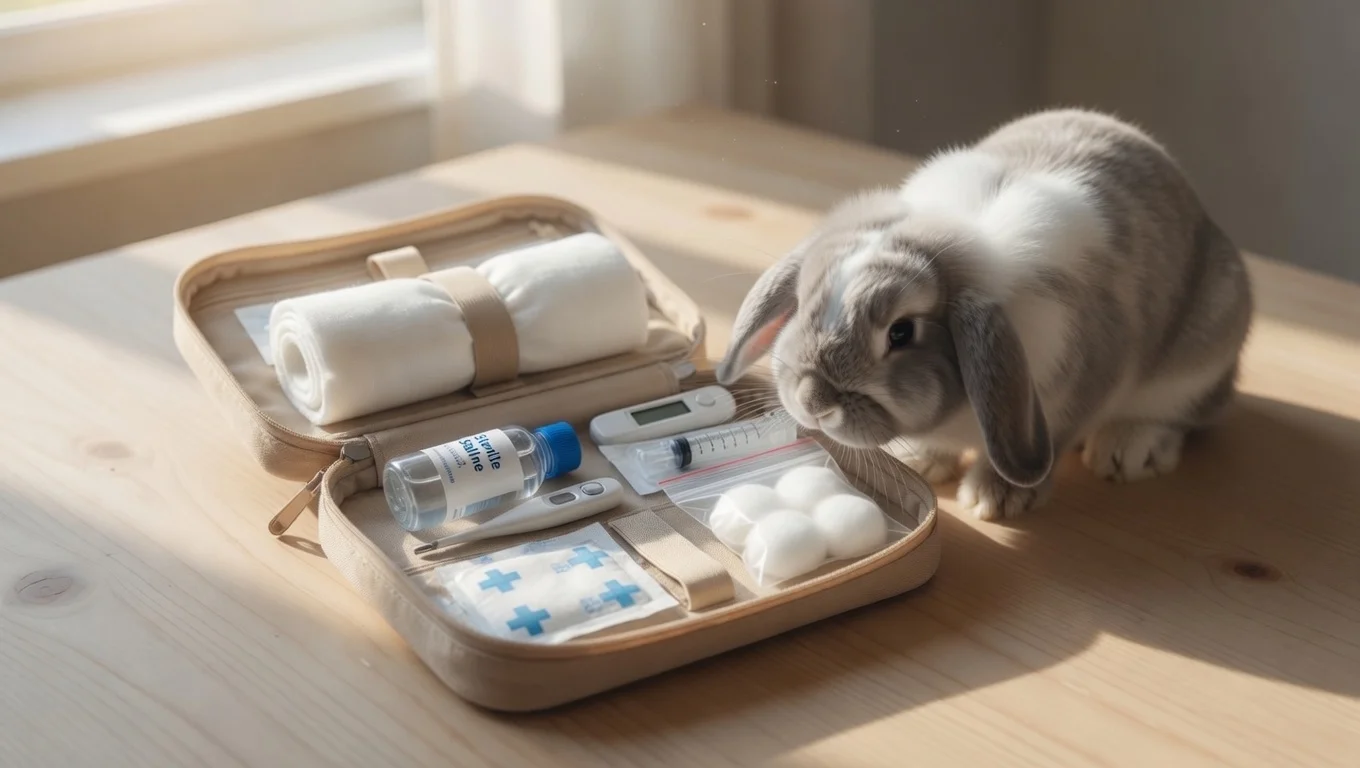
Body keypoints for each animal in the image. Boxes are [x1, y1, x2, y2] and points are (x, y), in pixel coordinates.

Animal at [716, 108, 1253, 520]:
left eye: (901, 332)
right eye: (804, 301)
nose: (812, 401)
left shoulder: (1081, 388)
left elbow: (1053, 440)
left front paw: (998, 497)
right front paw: (924, 460)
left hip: (1197, 359)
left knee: (1181, 414)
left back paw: (1124, 450)